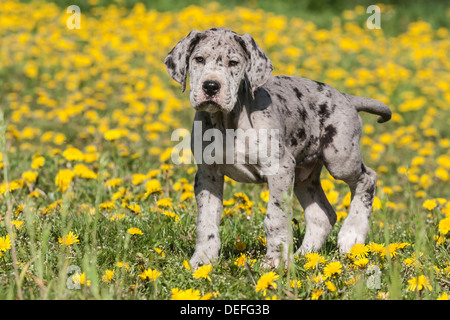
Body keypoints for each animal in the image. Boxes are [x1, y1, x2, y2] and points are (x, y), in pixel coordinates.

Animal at [164, 27, 390, 268]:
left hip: (340, 159)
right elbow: (206, 220)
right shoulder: (208, 174)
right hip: (304, 176)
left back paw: (351, 235)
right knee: (322, 215)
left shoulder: (280, 169)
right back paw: (303, 256)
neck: (227, 122)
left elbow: (275, 217)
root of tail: (346, 97)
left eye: (233, 63)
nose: (211, 86)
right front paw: (203, 260)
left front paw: (276, 262)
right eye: (198, 59)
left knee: (367, 178)